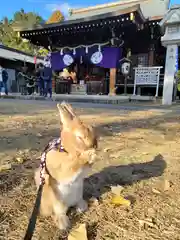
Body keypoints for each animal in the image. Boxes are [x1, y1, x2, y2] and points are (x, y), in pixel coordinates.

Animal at [34, 102, 97, 230]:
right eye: (79, 137)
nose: (94, 145)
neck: (67, 150)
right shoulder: (64, 168)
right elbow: (73, 165)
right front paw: (89, 155)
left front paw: (93, 155)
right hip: (58, 204)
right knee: (58, 213)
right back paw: (64, 224)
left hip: (77, 195)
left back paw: (82, 206)